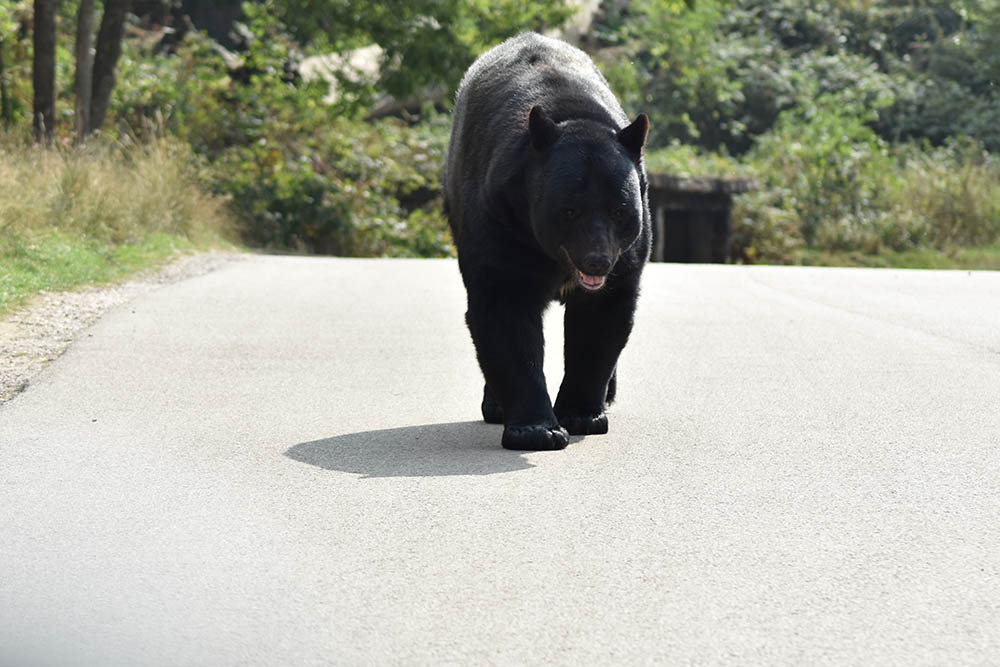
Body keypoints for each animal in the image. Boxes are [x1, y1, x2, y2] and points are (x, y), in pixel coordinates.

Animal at [444, 32, 651, 450]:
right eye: (569, 210)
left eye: (620, 210)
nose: (597, 261)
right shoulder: (501, 220)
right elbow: (505, 312)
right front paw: (536, 430)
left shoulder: (629, 257)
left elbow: (600, 320)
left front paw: (582, 415)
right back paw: (496, 405)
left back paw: (607, 395)